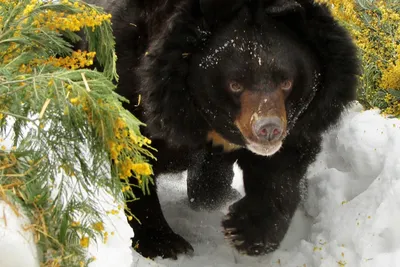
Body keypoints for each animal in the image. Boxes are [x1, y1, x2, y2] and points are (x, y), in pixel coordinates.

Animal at [84, 0, 360, 262]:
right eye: (235, 84)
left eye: (286, 82)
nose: (268, 129)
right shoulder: (130, 85)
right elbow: (132, 160)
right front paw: (165, 245)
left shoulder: (306, 115)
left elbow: (283, 168)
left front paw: (245, 231)